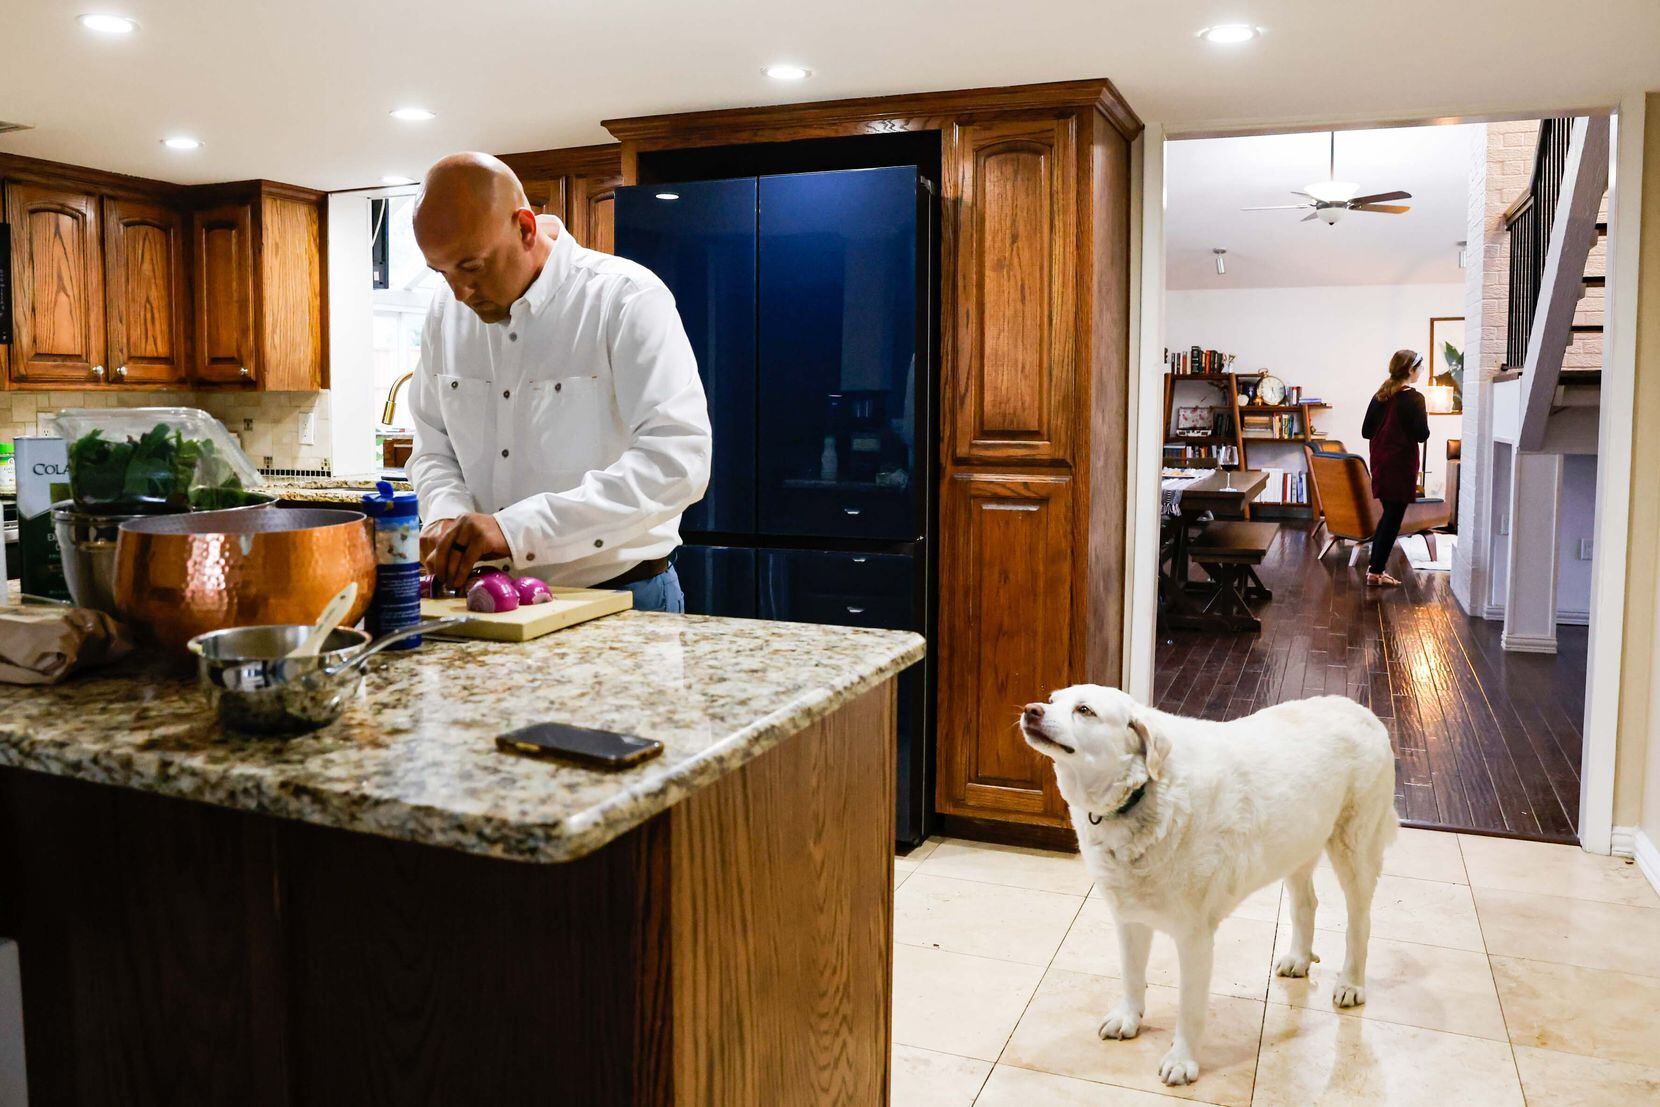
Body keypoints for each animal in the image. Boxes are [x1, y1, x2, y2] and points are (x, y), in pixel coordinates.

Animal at [1015, 687, 1394, 1088]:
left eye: (1084, 710)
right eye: (1052, 700)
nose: (1031, 711)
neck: (1143, 794)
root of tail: (1361, 709)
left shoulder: (1194, 937)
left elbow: (1190, 1007)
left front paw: (1183, 1061)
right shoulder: (1130, 919)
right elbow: (1132, 976)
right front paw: (1129, 1018)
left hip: (1355, 851)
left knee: (1359, 923)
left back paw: (1351, 983)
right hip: (1297, 846)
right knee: (1306, 904)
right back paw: (1299, 959)